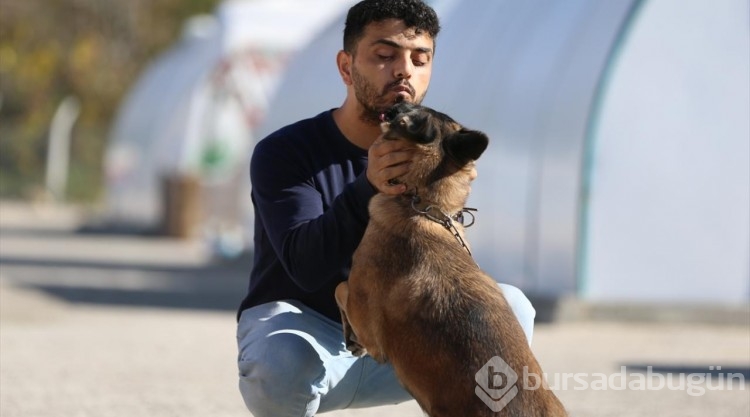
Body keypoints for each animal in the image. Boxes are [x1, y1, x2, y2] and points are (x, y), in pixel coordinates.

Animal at [332, 101, 568, 416]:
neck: (421, 206)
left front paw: (351, 338)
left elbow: (340, 288)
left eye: (408, 109)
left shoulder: (367, 321)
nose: (396, 103)